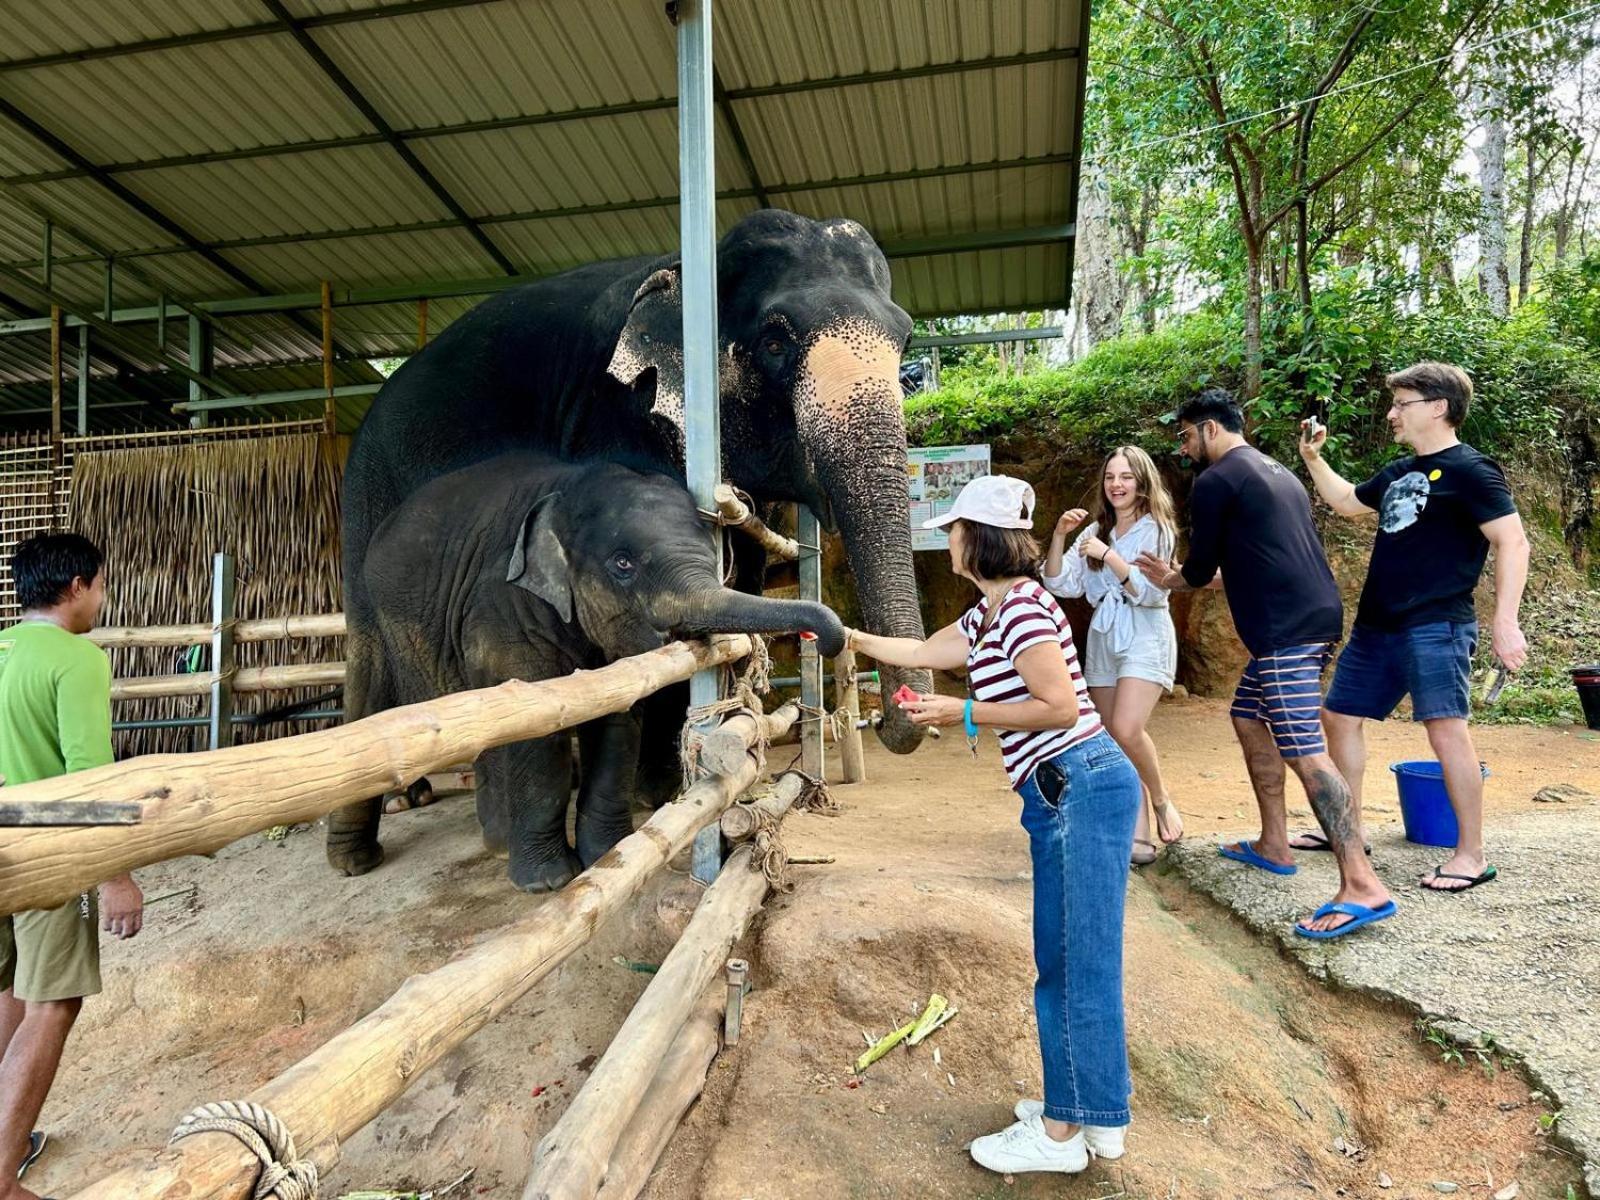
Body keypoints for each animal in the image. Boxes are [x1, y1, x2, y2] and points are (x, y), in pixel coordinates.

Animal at [352, 454, 851, 896]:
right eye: (623, 565)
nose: (829, 638)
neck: (565, 486)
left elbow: (618, 722)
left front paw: (607, 854)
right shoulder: (501, 609)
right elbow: (538, 734)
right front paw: (548, 883)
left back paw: (495, 843)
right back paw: (368, 858)